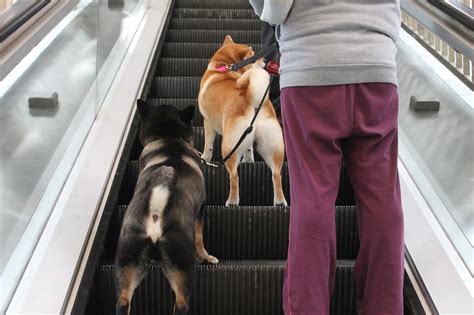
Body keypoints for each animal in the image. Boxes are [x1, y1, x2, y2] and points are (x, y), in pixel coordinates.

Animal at [115, 101, 218, 315]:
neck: (168, 139)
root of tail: (156, 213)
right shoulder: (201, 211)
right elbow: (200, 240)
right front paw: (206, 257)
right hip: (182, 265)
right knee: (181, 303)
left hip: (128, 258)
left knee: (122, 301)